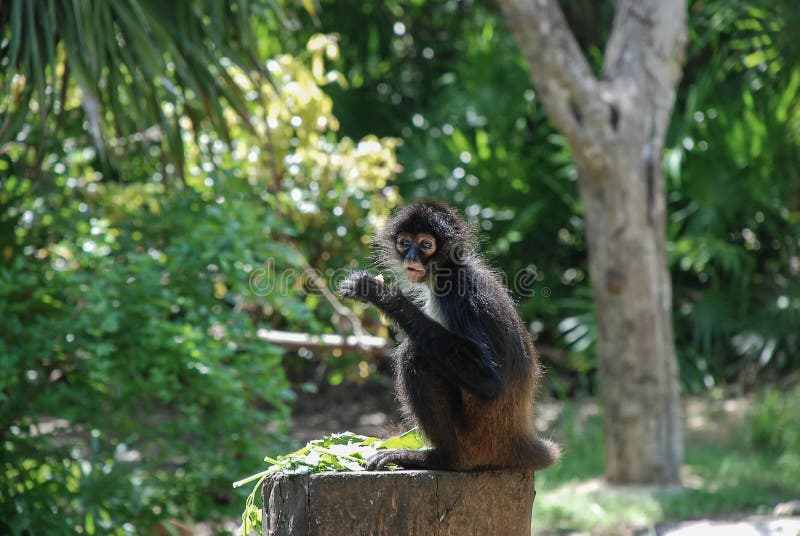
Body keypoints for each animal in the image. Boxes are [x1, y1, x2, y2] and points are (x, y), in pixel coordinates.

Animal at [340, 199, 560, 472]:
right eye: (405, 243)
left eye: (426, 245)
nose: (411, 257)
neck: (449, 269)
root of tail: (516, 440)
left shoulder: (461, 294)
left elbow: (490, 382)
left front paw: (379, 292)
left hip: (473, 436)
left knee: (414, 353)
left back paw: (441, 458)